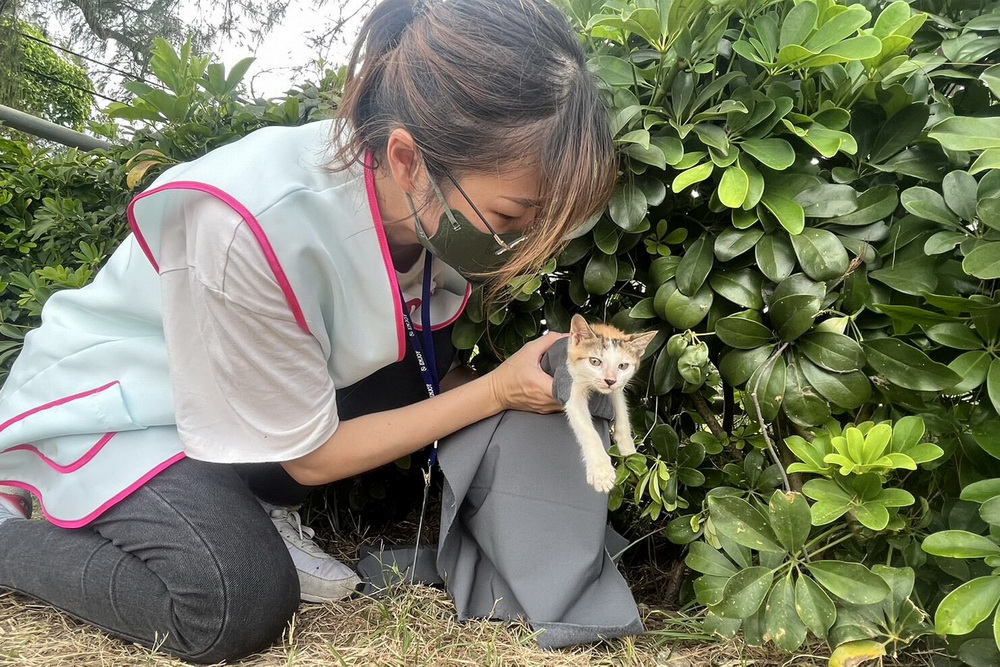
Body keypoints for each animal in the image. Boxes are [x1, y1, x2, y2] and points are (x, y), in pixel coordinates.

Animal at [568, 314, 660, 490]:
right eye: (595, 361)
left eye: (623, 366)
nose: (610, 380)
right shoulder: (573, 388)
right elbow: (588, 431)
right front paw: (601, 472)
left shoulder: (618, 387)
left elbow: (622, 407)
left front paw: (627, 446)